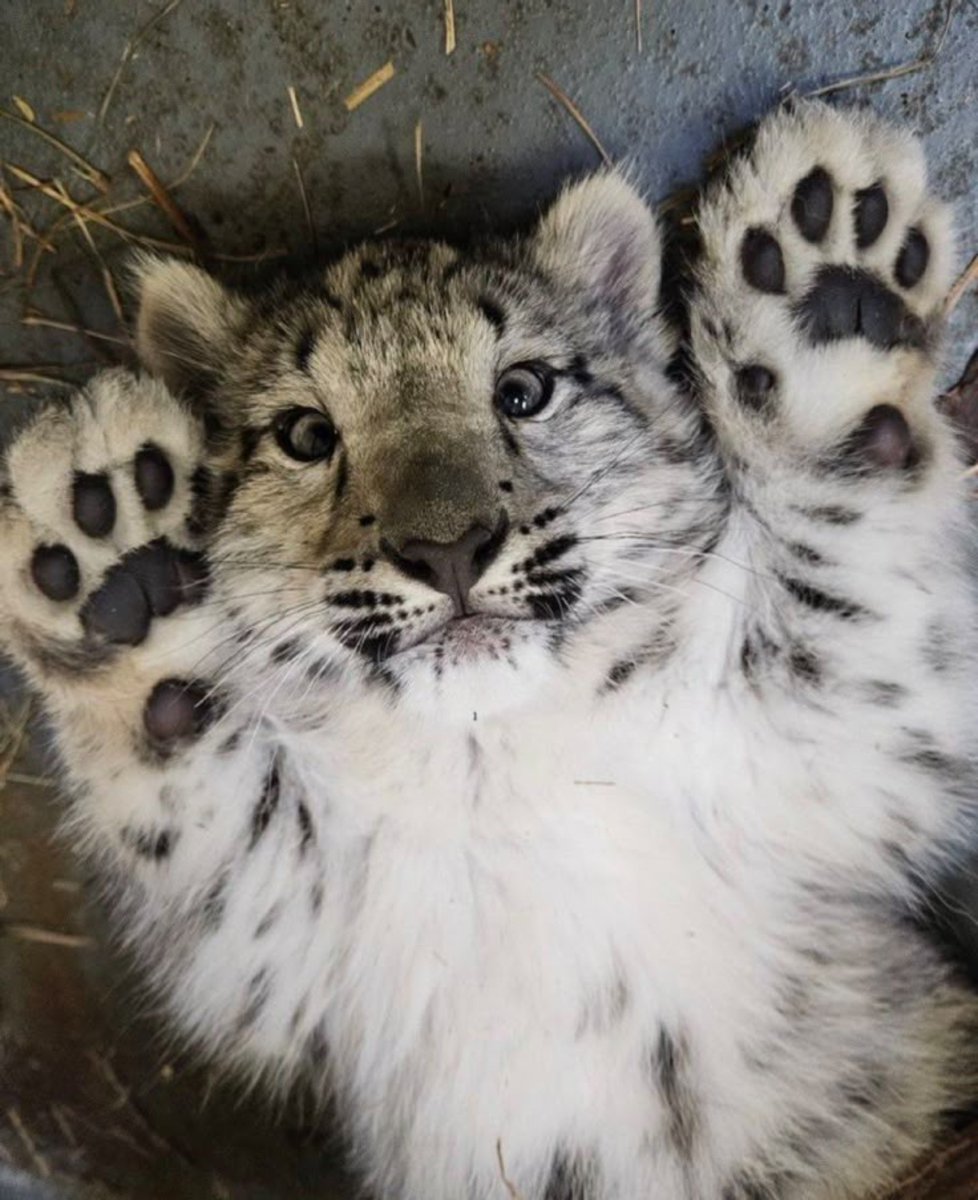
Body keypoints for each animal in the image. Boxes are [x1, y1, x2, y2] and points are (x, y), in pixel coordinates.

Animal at [2, 101, 977, 1200]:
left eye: (523, 389)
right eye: (306, 433)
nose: (448, 546)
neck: (497, 761)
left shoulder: (820, 746)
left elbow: (853, 579)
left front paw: (834, 275)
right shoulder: (286, 937)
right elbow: (207, 802)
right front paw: (112, 554)